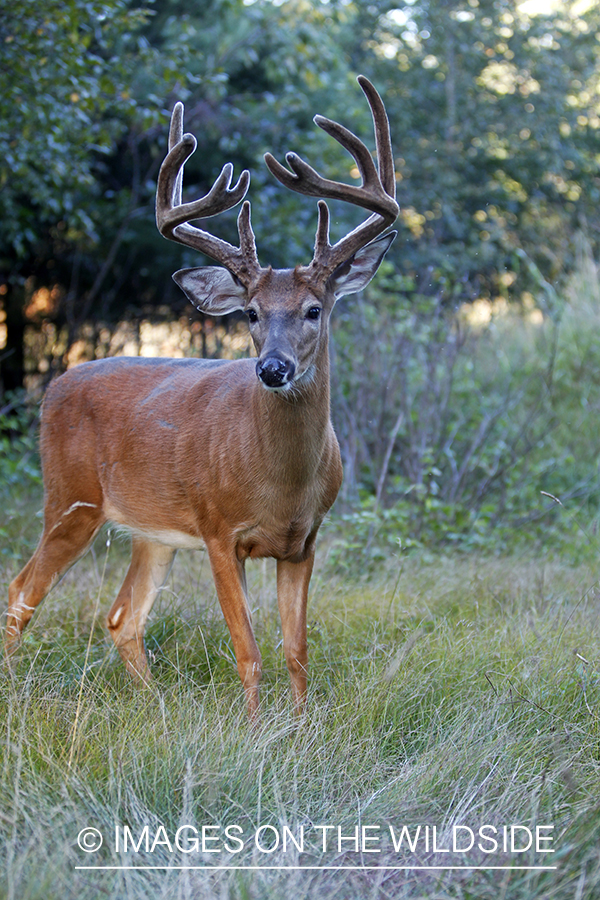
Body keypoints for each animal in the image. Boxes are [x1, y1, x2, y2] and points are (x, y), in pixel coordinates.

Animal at [5, 75, 398, 716]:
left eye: (314, 309)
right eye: (252, 313)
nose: (272, 368)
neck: (281, 483)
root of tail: (54, 386)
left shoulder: (304, 542)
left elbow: (297, 651)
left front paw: (302, 725)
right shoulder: (219, 531)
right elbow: (249, 651)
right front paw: (257, 728)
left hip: (149, 530)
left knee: (123, 617)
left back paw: (157, 708)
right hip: (69, 499)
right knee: (20, 592)